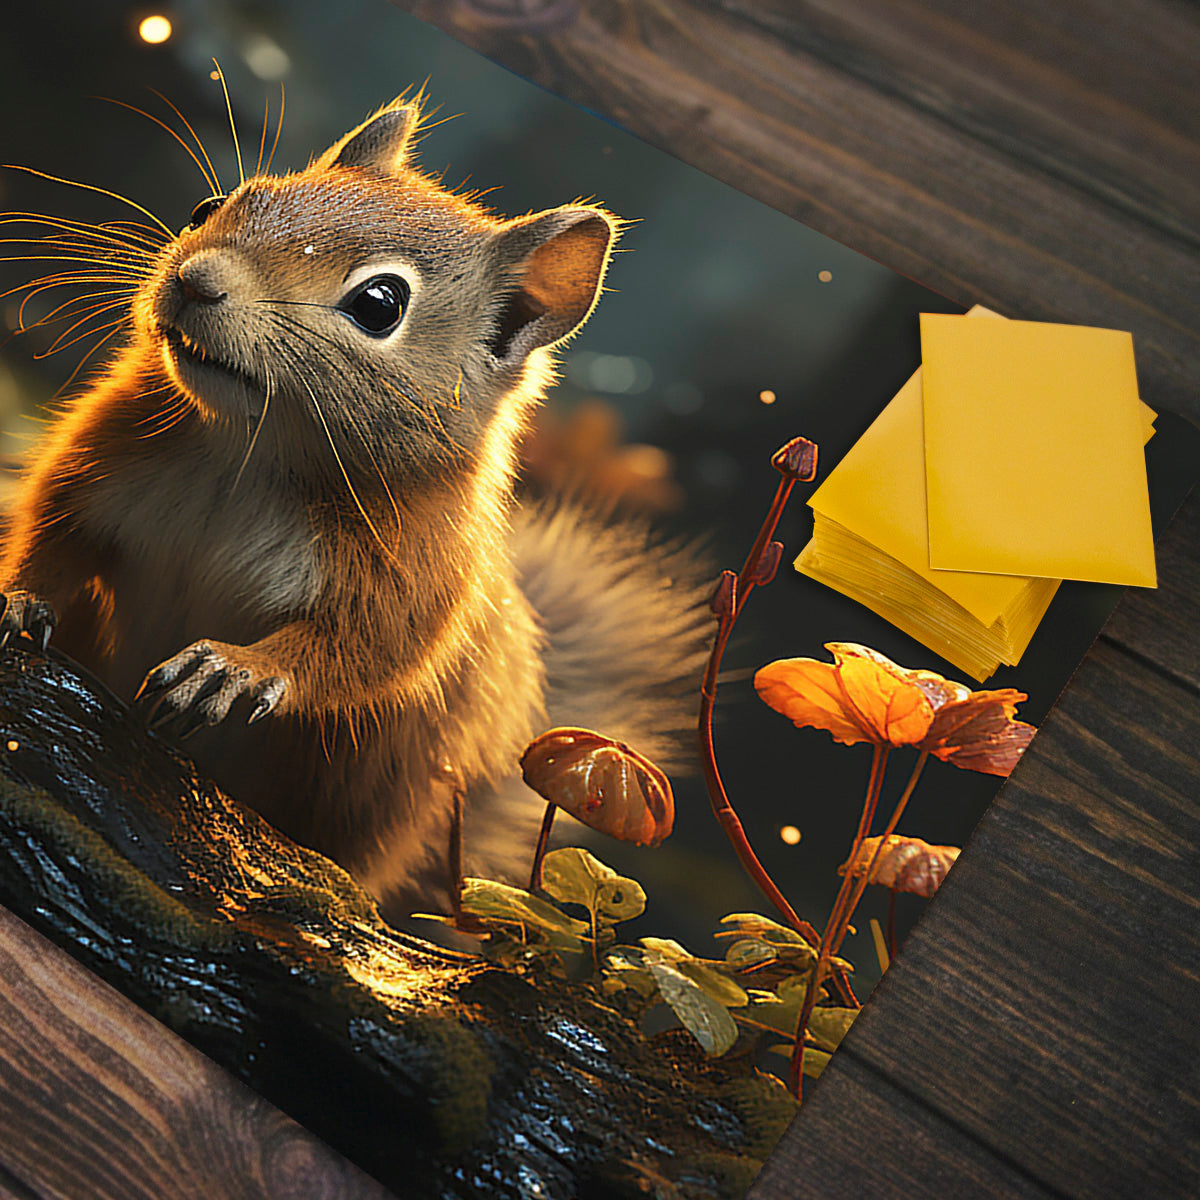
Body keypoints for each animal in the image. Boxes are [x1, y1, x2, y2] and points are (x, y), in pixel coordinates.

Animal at [0, 97, 709, 913]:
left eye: (379, 304)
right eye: (212, 207)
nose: (194, 280)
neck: (251, 454)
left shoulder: (410, 573)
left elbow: (361, 651)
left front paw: (237, 669)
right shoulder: (95, 469)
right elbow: (53, 536)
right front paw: (18, 599)